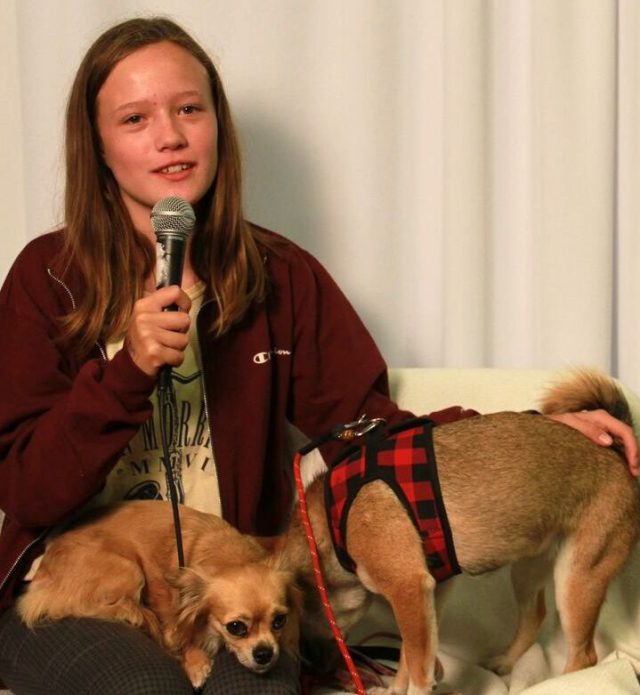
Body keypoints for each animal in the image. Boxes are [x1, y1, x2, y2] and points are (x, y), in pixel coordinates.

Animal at [16, 500, 302, 692]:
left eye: (279, 621)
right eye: (236, 627)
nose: (264, 653)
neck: (228, 556)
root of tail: (43, 570)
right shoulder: (175, 618)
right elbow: (183, 635)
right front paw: (196, 662)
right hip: (128, 569)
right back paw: (136, 615)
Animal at [280, 372, 640, 692]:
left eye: (288, 622)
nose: (309, 668)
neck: (329, 521)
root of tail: (616, 452)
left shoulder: (409, 589)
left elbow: (419, 671)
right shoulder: (429, 594)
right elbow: (408, 656)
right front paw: (394, 689)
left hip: (577, 578)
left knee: (584, 657)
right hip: (528, 569)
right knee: (535, 616)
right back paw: (506, 663)